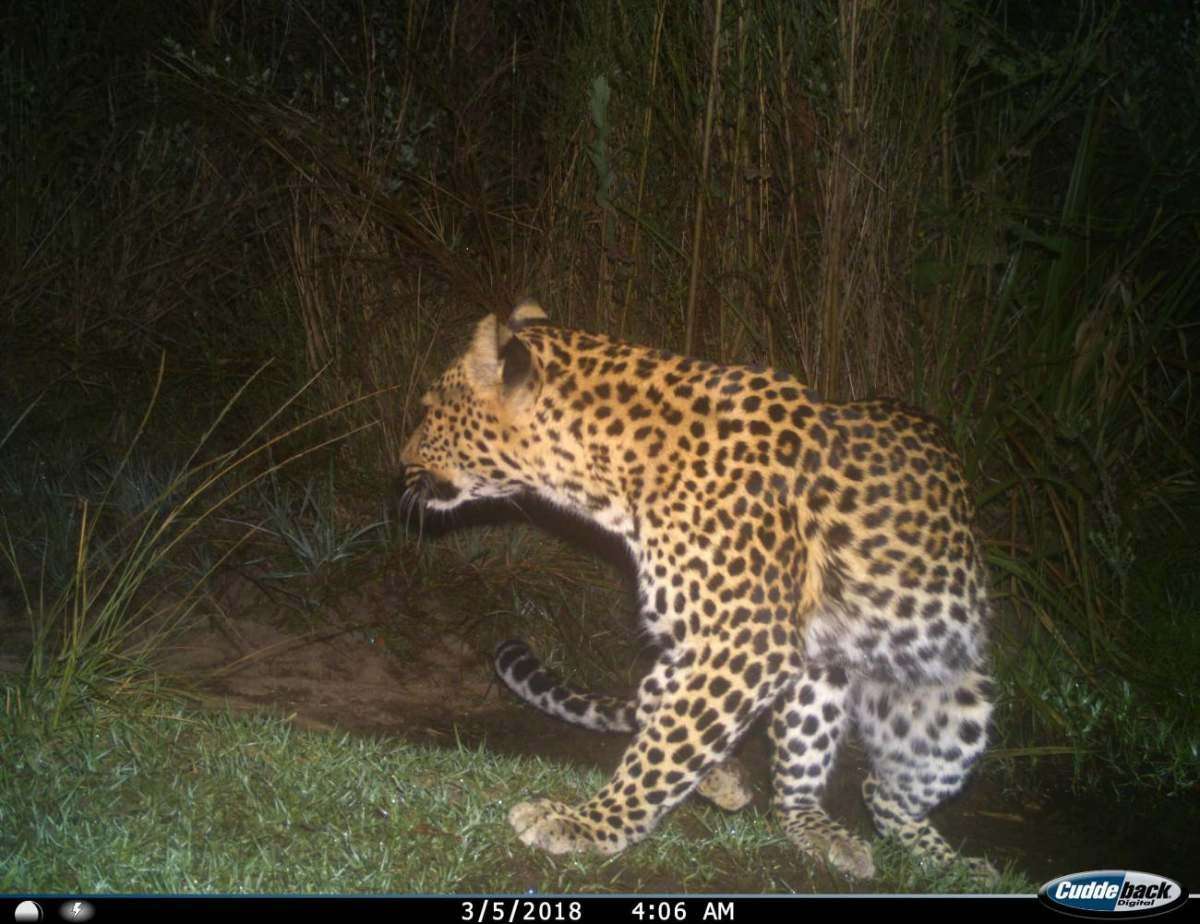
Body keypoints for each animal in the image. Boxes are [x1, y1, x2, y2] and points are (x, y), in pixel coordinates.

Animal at [398, 300, 997, 880]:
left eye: (427, 411)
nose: (400, 463)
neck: (609, 474)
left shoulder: (745, 642)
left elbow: (664, 748)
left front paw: (586, 825)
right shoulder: (696, 638)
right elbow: (664, 712)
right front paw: (716, 777)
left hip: (956, 713)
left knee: (884, 794)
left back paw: (957, 866)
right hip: (821, 671)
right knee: (823, 788)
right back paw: (826, 834)